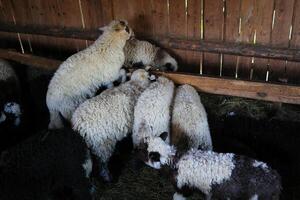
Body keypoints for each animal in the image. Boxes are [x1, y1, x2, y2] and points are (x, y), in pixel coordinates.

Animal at [138, 136, 282, 200]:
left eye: (145, 152)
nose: (136, 151)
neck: (174, 160)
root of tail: (276, 179)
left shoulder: (183, 185)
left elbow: (179, 196)